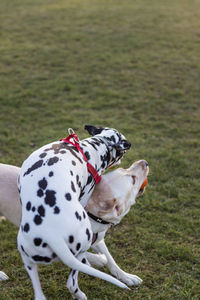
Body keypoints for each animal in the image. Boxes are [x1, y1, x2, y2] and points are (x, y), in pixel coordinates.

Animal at [0, 161, 148, 296]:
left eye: (123, 168)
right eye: (133, 179)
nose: (144, 162)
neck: (91, 214)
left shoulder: (98, 240)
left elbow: (111, 259)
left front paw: (126, 277)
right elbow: (94, 258)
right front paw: (98, 260)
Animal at [16, 126, 131, 300]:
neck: (91, 147)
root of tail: (52, 234)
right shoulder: (86, 194)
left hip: (27, 258)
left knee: (39, 292)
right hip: (84, 241)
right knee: (72, 280)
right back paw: (82, 291)